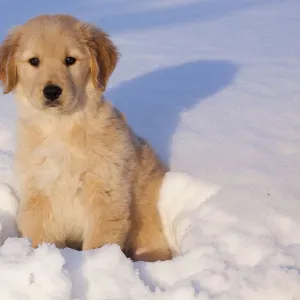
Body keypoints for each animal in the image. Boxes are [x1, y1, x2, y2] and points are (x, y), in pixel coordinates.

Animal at [0, 14, 172, 262]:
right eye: (34, 61)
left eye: (70, 60)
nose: (52, 91)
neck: (61, 127)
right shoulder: (38, 194)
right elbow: (41, 237)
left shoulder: (106, 193)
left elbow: (99, 243)